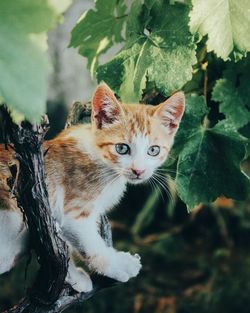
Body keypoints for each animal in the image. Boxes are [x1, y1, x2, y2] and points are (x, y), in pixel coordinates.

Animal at [0, 82, 184, 290]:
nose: (138, 170)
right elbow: (91, 243)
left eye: (153, 150)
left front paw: (72, 276)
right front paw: (117, 264)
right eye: (122, 148)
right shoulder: (72, 213)